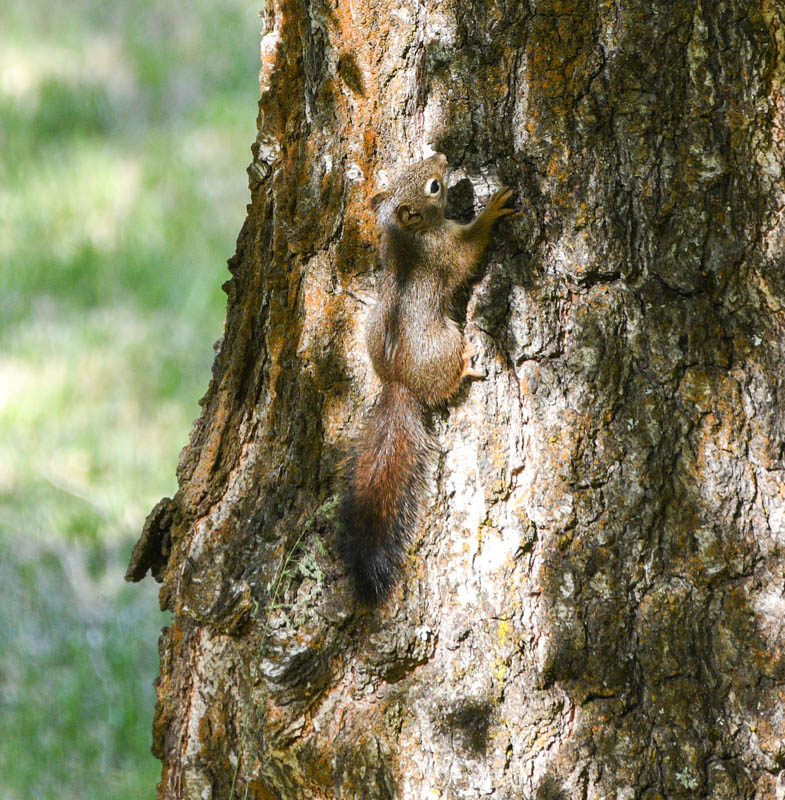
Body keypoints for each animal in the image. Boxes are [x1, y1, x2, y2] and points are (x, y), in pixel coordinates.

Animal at [339, 153, 515, 604]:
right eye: (434, 187)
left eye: (414, 169)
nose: (443, 157)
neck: (408, 241)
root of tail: (399, 383)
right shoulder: (445, 252)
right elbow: (470, 251)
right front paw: (492, 211)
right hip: (445, 343)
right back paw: (467, 365)